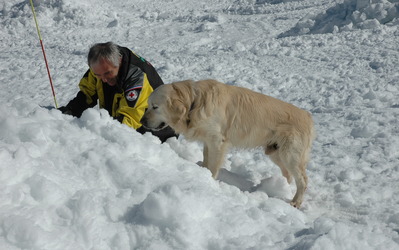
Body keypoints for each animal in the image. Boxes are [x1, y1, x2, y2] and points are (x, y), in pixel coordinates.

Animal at [141, 79, 316, 207]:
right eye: (147, 105)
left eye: (155, 107)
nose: (142, 121)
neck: (195, 102)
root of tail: (308, 116)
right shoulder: (208, 141)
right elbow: (206, 160)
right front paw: (202, 173)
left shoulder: (217, 141)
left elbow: (213, 167)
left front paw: (210, 182)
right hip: (276, 153)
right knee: (288, 175)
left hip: (290, 155)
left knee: (303, 180)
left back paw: (295, 202)